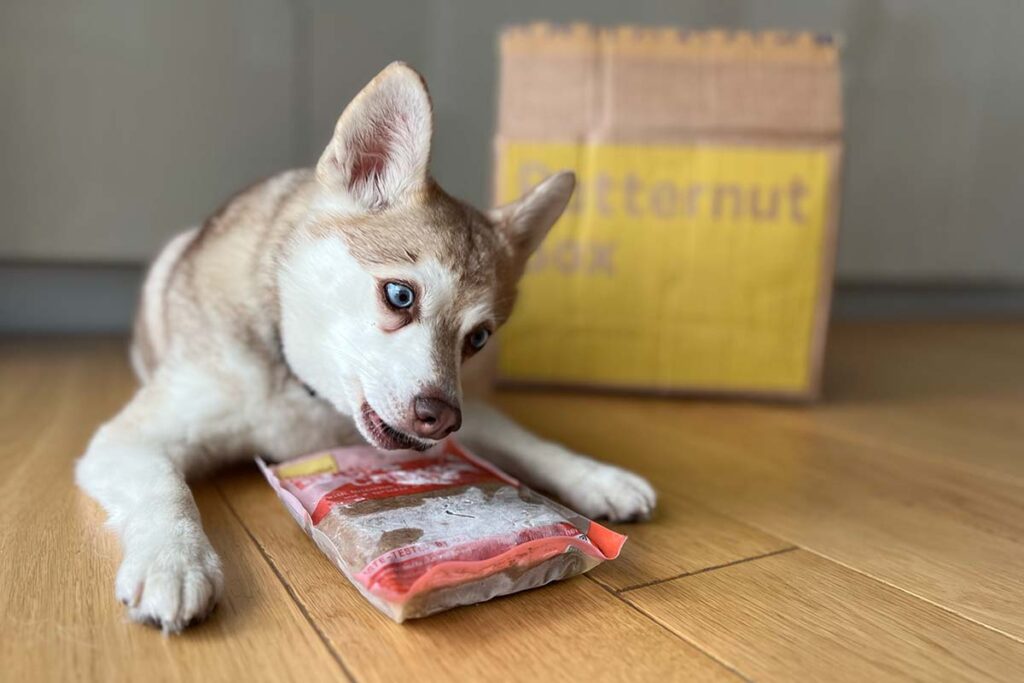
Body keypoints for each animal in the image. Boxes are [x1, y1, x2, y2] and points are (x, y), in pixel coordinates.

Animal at [77, 61, 655, 634]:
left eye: (478, 338)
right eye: (400, 295)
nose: (441, 419)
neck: (305, 392)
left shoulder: (462, 413)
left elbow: (527, 442)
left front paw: (599, 477)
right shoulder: (129, 439)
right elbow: (165, 488)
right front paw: (174, 560)